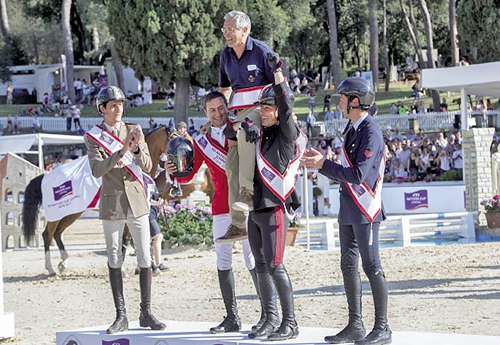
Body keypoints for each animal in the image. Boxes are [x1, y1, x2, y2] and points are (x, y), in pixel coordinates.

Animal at [22, 125, 214, 276]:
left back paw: (63, 263)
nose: (191, 164)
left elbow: (135, 240)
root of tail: (45, 176)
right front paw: (130, 268)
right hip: (57, 214)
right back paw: (50, 268)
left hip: (71, 213)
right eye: (178, 139)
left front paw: (142, 267)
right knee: (48, 234)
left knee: (57, 233)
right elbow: (127, 241)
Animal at [84, 86, 164, 334]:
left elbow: (144, 259)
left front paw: (148, 318)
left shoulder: (139, 222)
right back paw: (120, 321)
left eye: (119, 104)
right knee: (113, 263)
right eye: (112, 104)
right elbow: (98, 165)